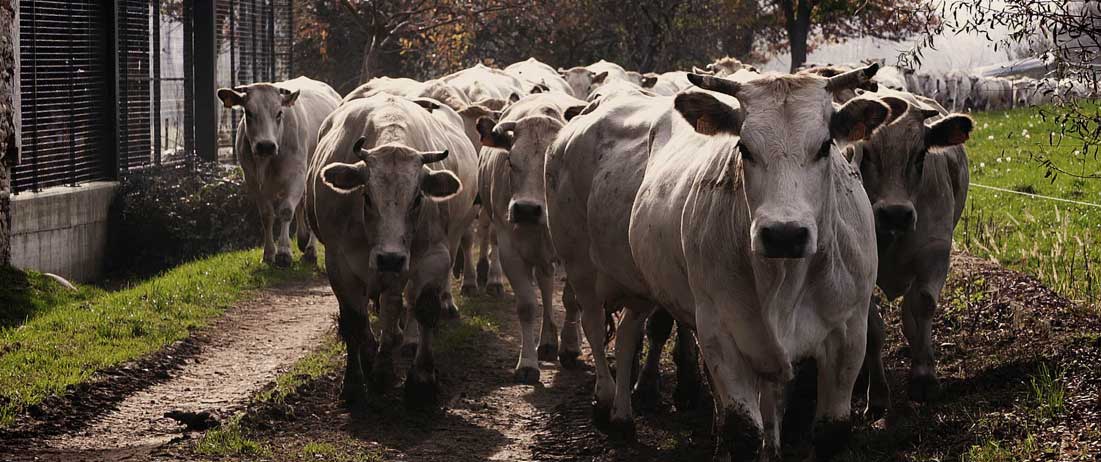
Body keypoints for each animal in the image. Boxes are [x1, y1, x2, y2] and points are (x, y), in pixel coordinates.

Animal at [213, 76, 334, 267]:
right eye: (248, 112)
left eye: (279, 113)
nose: (265, 145)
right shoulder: (253, 181)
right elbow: (267, 215)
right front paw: (269, 253)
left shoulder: (296, 176)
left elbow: (286, 211)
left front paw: (284, 252)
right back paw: (302, 239)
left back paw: (310, 250)